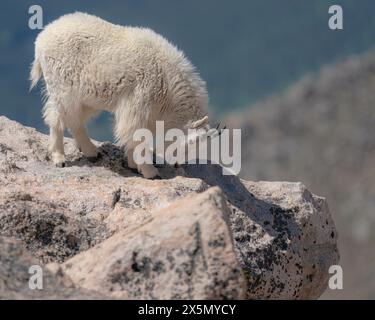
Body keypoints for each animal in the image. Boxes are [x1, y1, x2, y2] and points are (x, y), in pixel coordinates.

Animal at [30, 11, 210, 178]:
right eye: (190, 143)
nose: (177, 165)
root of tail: (42, 38)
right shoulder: (140, 99)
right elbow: (134, 133)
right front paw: (150, 172)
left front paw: (134, 164)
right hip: (62, 85)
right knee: (60, 117)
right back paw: (61, 157)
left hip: (87, 96)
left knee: (70, 118)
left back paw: (89, 152)